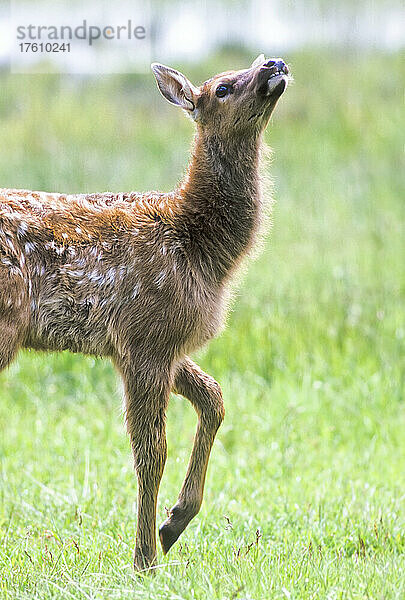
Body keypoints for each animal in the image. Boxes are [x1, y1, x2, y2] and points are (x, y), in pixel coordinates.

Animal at [0, 54, 290, 568]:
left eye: (254, 63)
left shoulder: (157, 342)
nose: (274, 63)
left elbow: (214, 398)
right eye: (221, 88)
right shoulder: (145, 336)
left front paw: (175, 523)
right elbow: (150, 455)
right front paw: (145, 558)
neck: (199, 247)